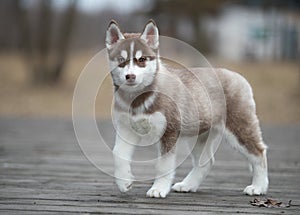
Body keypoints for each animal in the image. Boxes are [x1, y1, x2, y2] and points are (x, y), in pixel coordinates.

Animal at [105, 20, 268, 198]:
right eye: (121, 60)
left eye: (141, 59)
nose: (130, 76)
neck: (137, 99)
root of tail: (238, 76)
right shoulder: (126, 128)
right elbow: (118, 154)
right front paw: (124, 182)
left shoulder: (168, 132)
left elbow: (163, 165)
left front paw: (158, 188)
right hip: (199, 135)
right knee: (205, 162)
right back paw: (188, 185)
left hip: (240, 128)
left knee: (259, 153)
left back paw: (258, 187)